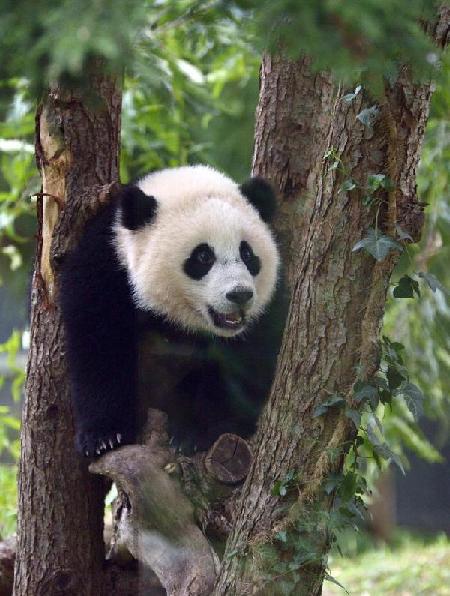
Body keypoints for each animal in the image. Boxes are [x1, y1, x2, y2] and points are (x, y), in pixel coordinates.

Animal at [59, 165, 284, 458]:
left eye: (247, 254)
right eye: (203, 257)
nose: (240, 295)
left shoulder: (265, 311)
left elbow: (245, 364)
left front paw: (197, 433)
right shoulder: (106, 266)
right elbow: (99, 345)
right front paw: (105, 436)